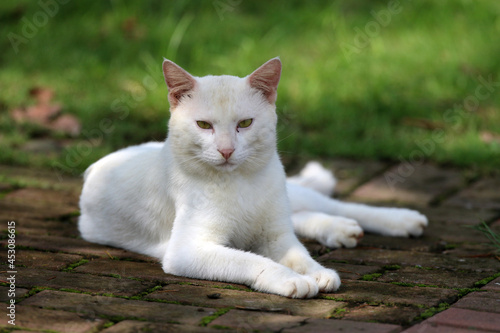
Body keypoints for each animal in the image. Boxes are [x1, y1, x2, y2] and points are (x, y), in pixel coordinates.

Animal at [78, 57, 426, 298]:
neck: (240, 184)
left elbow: (299, 254)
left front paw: (315, 273)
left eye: (245, 123)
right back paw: (340, 231)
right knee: (304, 216)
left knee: (332, 206)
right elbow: (249, 260)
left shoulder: (276, 236)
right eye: (204, 125)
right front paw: (291, 279)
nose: (226, 150)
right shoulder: (188, 250)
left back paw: (400, 220)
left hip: (289, 196)